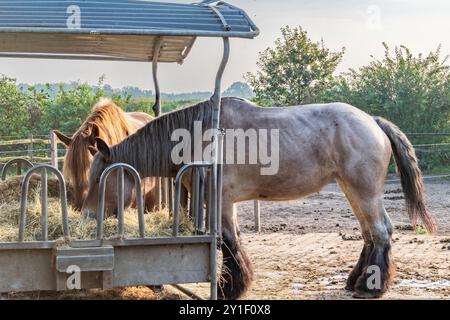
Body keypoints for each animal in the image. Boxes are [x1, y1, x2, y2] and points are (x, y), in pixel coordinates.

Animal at [81, 97, 436, 300]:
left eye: (100, 179)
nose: (86, 214)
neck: (201, 138)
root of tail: (373, 121)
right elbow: (232, 242)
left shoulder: (221, 203)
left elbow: (228, 243)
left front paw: (229, 288)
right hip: (352, 190)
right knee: (370, 235)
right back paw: (356, 281)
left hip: (364, 191)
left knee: (380, 232)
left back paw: (369, 287)